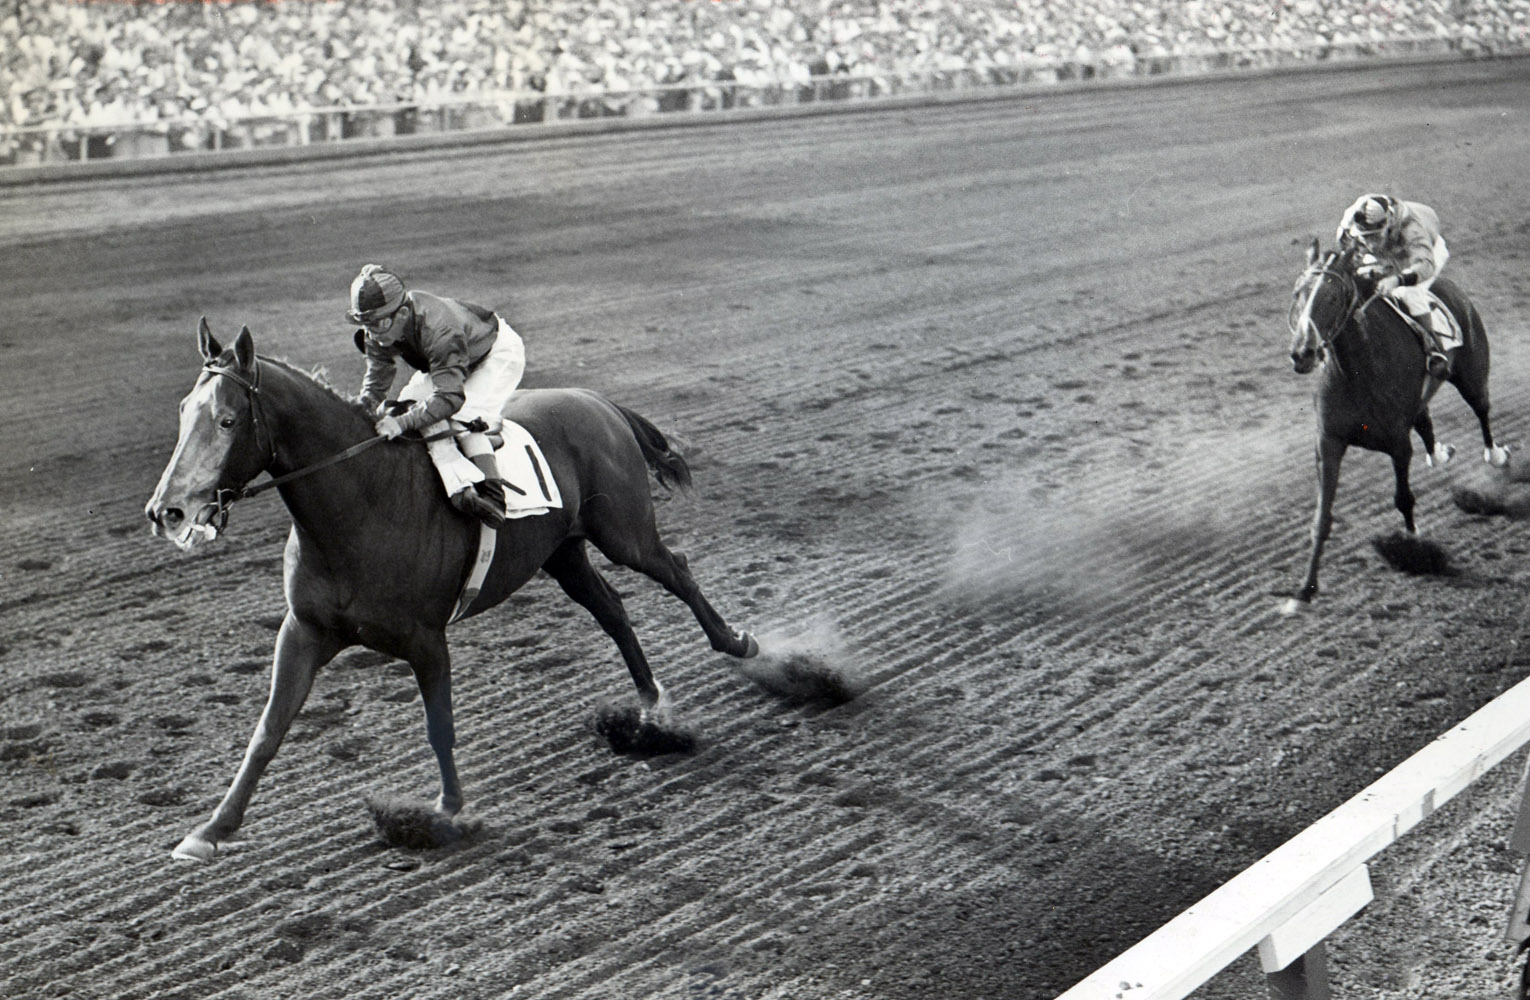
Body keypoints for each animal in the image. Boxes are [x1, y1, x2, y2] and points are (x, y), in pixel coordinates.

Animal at [149, 321, 758, 862]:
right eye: (181, 413)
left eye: (227, 420)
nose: (166, 511)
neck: (362, 504)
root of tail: (595, 399)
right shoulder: (305, 630)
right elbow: (267, 731)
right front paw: (211, 830)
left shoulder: (426, 640)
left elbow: (439, 728)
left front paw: (447, 811)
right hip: (562, 552)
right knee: (611, 608)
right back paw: (651, 708)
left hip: (625, 533)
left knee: (677, 571)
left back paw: (739, 645)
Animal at [1279, 240, 1505, 614]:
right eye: (1299, 294)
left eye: (1333, 297)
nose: (1302, 353)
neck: (1358, 370)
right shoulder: (1329, 442)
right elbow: (1322, 519)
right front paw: (1304, 591)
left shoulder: (1399, 444)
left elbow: (1403, 499)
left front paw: (1414, 549)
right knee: (1425, 420)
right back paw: (1438, 452)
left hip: (1472, 375)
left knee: (1482, 411)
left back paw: (1496, 457)